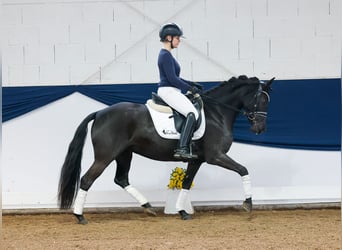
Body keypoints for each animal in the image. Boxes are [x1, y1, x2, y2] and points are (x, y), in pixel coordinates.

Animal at [57, 74, 274, 223]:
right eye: (262, 100)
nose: (259, 129)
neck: (216, 113)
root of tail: (100, 112)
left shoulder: (197, 160)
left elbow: (186, 183)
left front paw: (182, 211)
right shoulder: (215, 156)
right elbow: (243, 170)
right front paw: (248, 203)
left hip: (124, 154)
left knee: (121, 179)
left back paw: (148, 207)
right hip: (105, 156)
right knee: (87, 179)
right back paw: (79, 216)